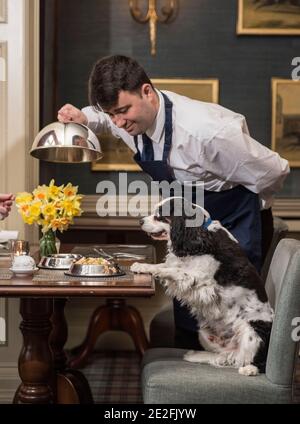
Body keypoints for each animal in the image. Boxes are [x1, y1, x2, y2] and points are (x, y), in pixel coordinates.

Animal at [131, 197, 274, 376]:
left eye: (160, 216)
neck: (199, 234)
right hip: (204, 333)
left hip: (252, 329)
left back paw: (249, 369)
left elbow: (171, 270)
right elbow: (165, 266)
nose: (140, 221)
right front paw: (142, 266)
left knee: (250, 359)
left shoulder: (198, 279)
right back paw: (197, 355)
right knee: (226, 356)